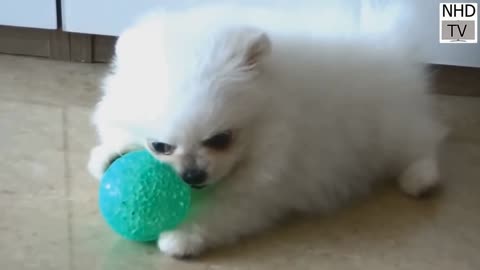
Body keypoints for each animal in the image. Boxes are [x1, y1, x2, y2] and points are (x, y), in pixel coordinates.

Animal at [87, 3, 446, 258]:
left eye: (221, 139)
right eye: (160, 146)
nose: (192, 175)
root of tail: (389, 38)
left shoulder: (266, 189)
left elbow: (225, 210)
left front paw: (182, 236)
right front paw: (108, 155)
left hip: (393, 129)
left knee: (422, 144)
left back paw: (420, 179)